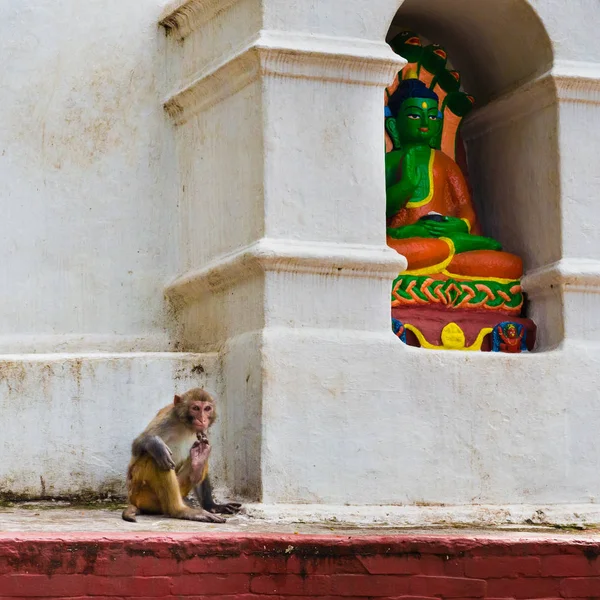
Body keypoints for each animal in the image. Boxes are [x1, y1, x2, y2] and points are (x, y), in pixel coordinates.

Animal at [122, 390, 241, 520]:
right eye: (196, 408)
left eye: (207, 409)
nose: (203, 420)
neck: (186, 426)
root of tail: (132, 500)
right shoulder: (166, 421)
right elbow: (136, 446)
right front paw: (155, 444)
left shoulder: (202, 433)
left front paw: (211, 505)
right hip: (141, 494)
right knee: (155, 459)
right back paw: (180, 511)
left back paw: (198, 462)